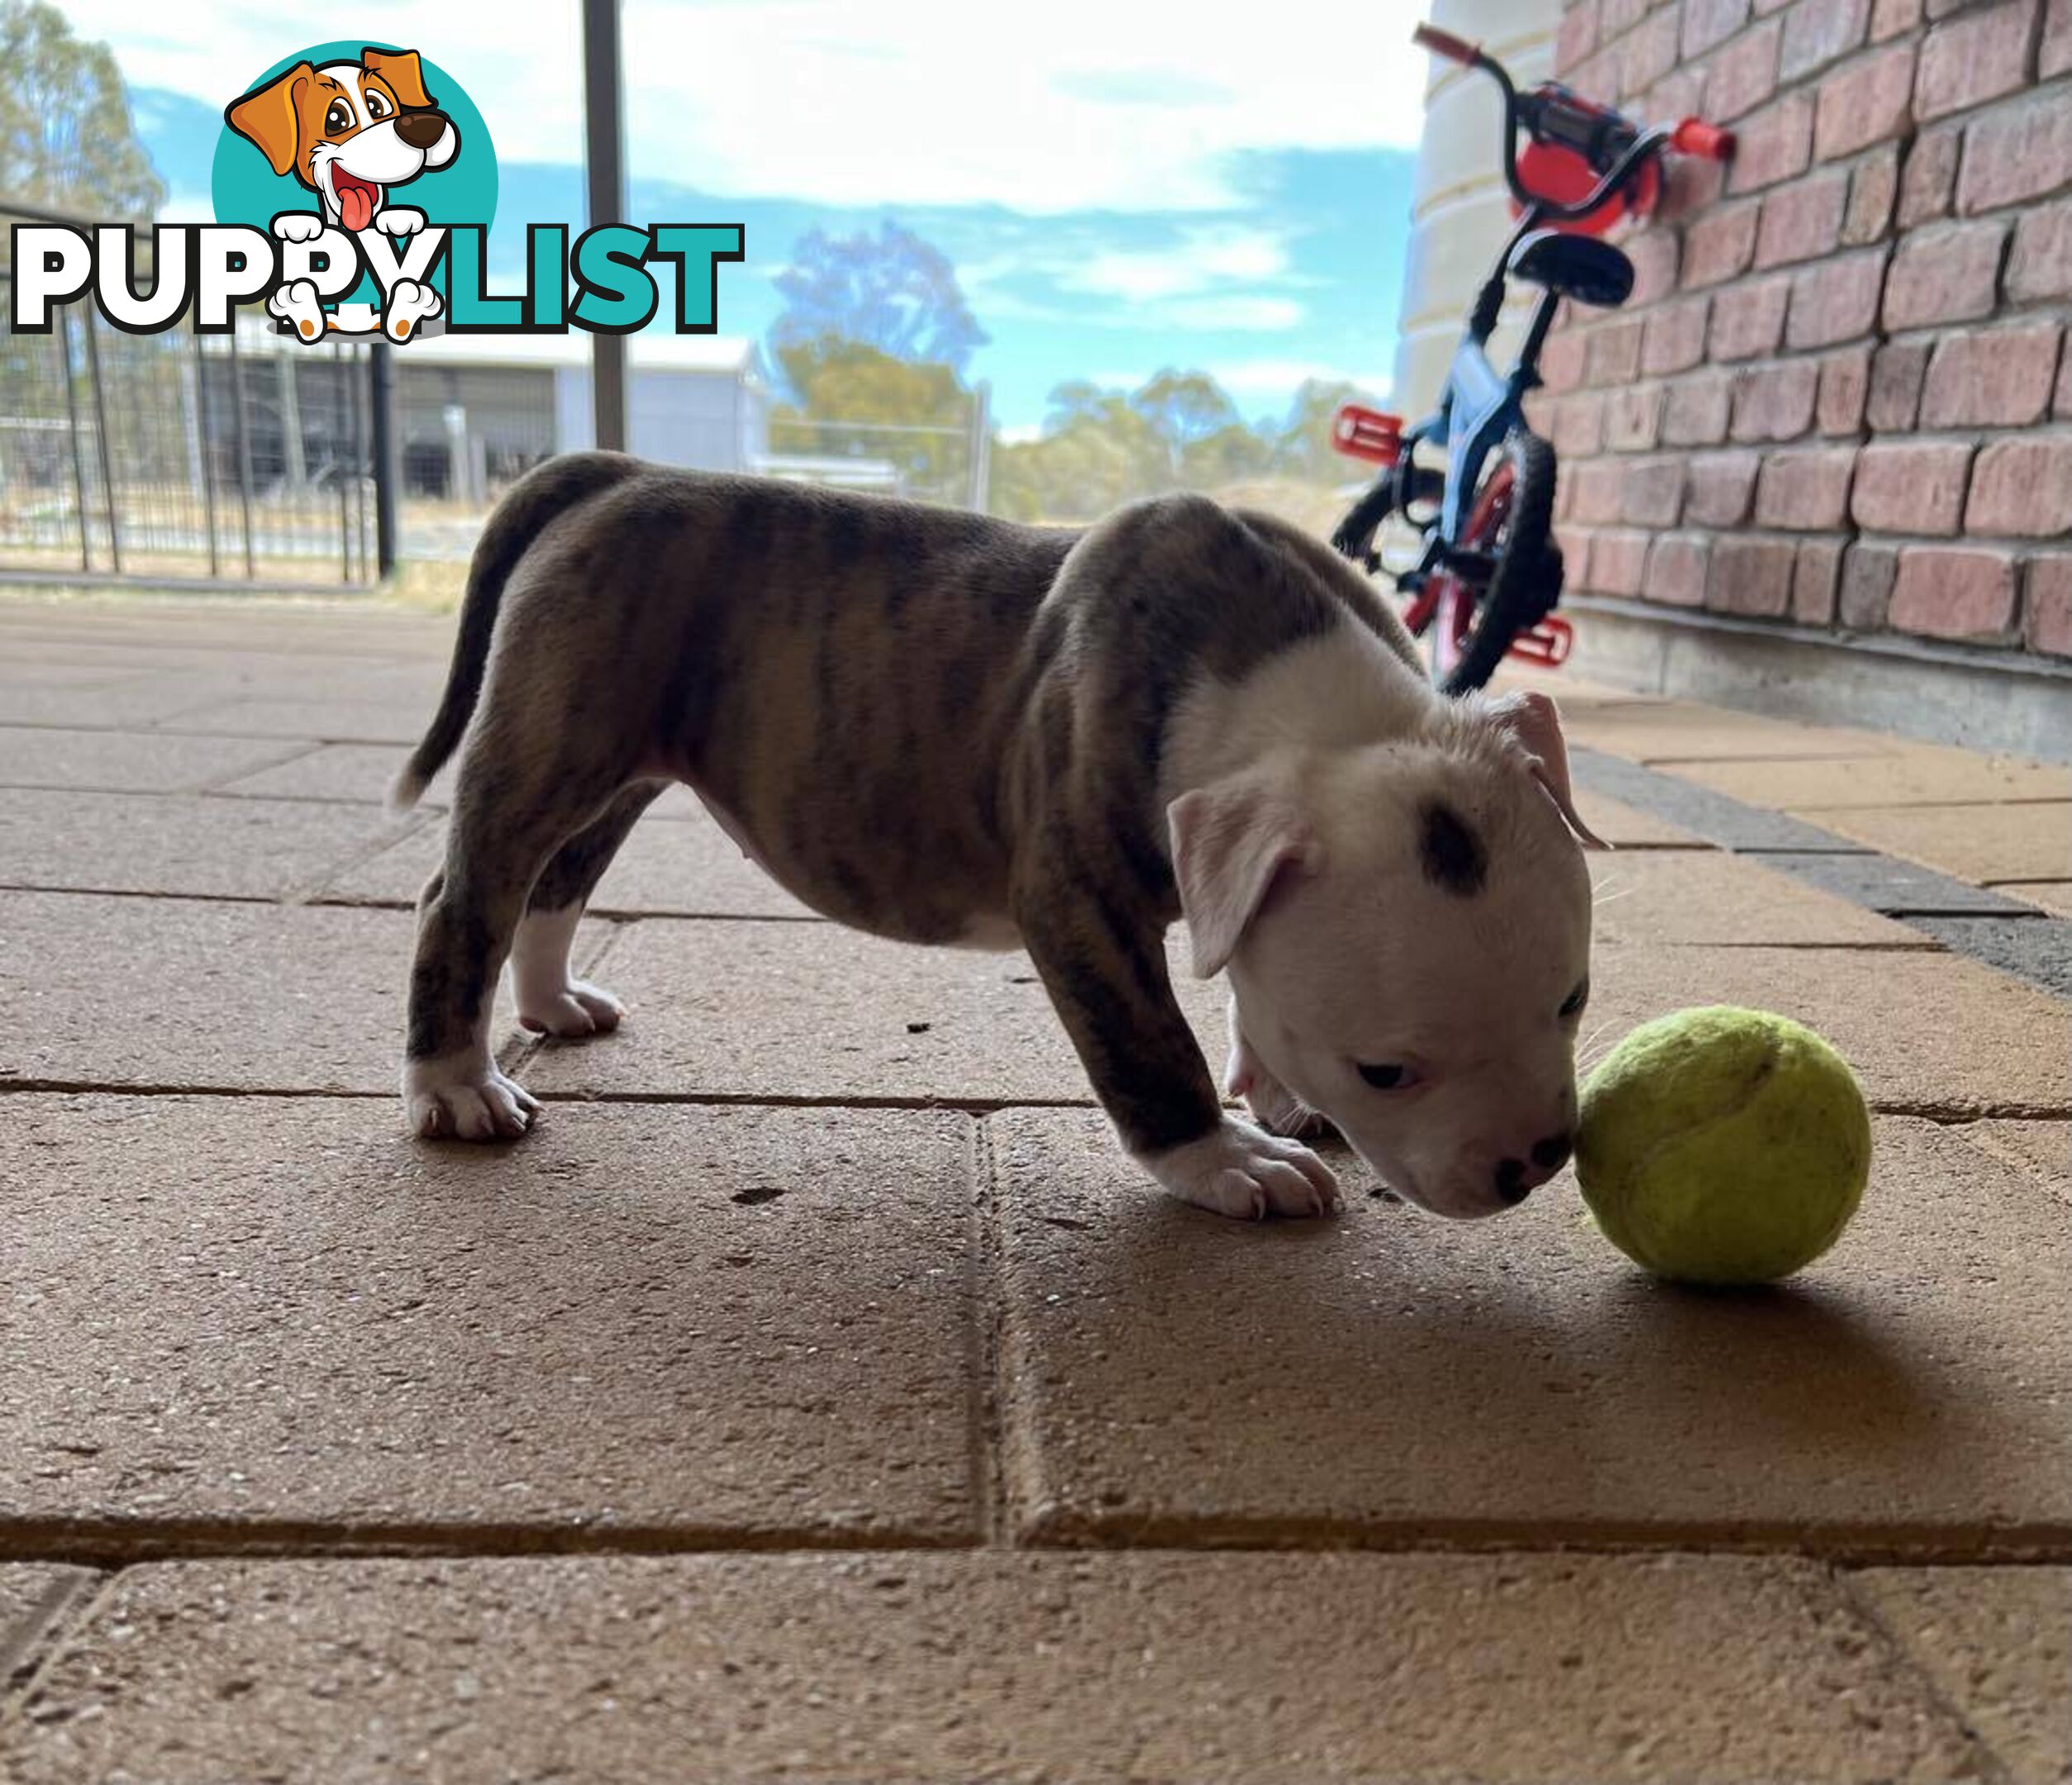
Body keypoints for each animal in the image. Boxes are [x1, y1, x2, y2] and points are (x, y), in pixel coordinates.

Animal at [399, 453, 1599, 1226]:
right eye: (1385, 1070)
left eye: (1573, 1000)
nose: (1537, 1163)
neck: (1293, 696)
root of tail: (614, 473)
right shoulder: (1076, 901)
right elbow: (1147, 1042)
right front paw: (1225, 1158)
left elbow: (1243, 986)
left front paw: (1274, 1090)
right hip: (551, 737)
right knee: (464, 897)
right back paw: (456, 1086)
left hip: (619, 763)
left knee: (556, 879)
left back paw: (551, 1004)